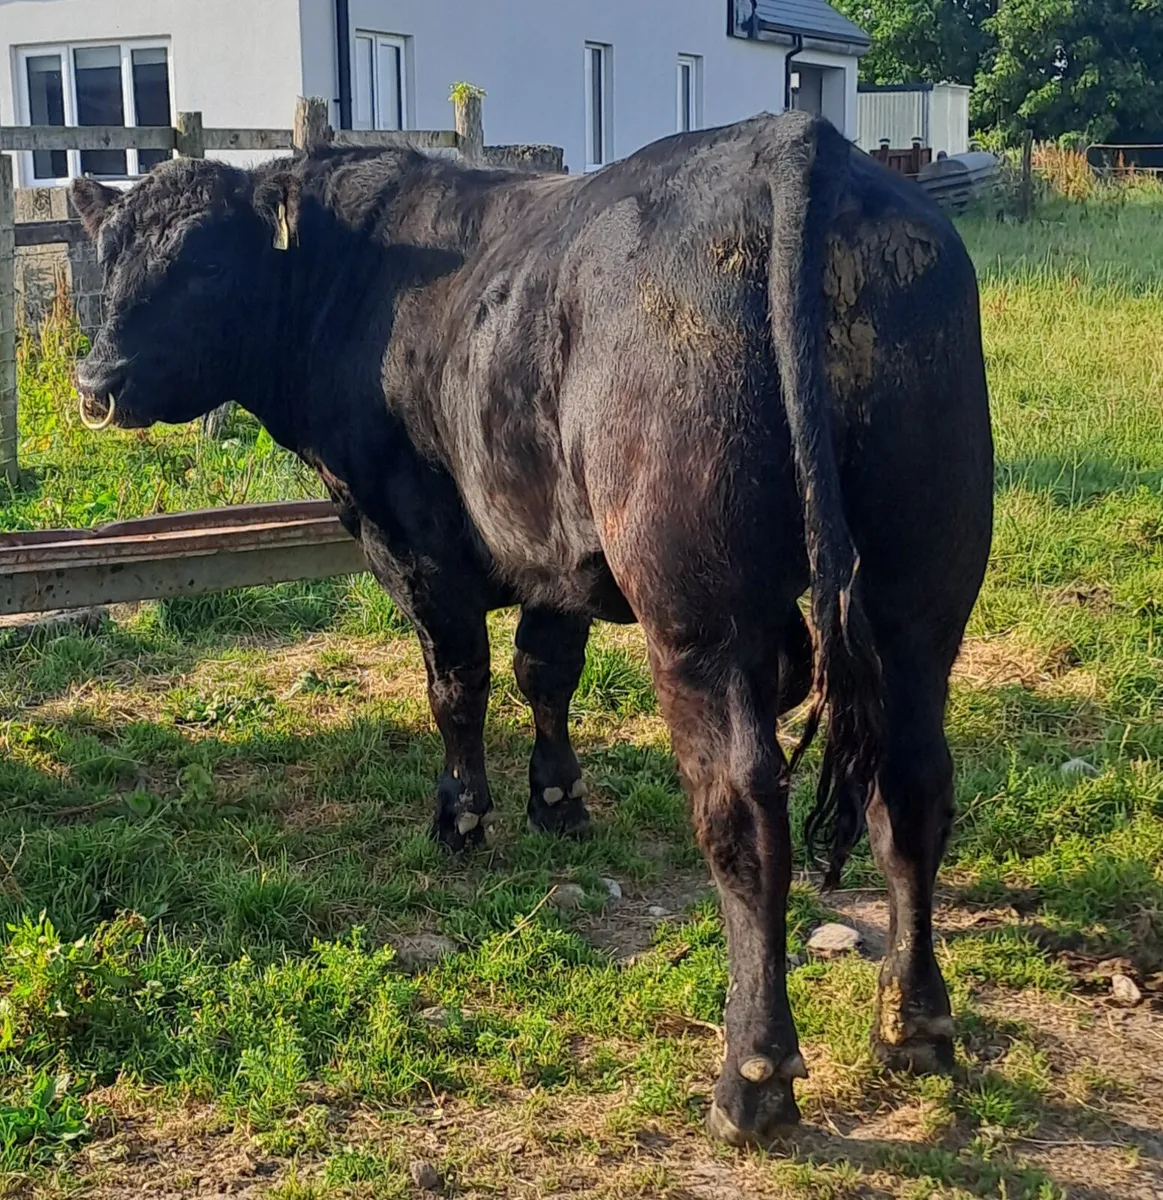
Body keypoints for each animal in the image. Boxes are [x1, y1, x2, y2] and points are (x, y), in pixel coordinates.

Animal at [70, 110, 993, 1148]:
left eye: (202, 264)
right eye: (110, 255)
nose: (97, 381)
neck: (358, 280)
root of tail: (794, 142)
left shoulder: (411, 538)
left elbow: (457, 680)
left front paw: (461, 814)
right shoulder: (553, 544)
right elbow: (543, 670)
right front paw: (556, 801)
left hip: (697, 610)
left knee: (742, 812)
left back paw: (751, 1079)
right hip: (921, 582)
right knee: (911, 783)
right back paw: (914, 1026)